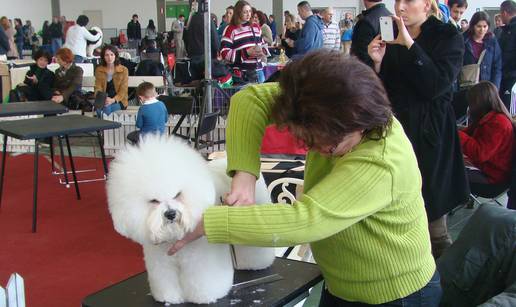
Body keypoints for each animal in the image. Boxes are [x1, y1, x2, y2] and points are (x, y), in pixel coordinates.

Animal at [107, 137, 276, 306]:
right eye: (154, 201)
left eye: (177, 194)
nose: (170, 214)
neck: (174, 236)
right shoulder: (161, 262)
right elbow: (165, 279)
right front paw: (169, 297)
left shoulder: (200, 259)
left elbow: (202, 279)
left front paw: (204, 296)